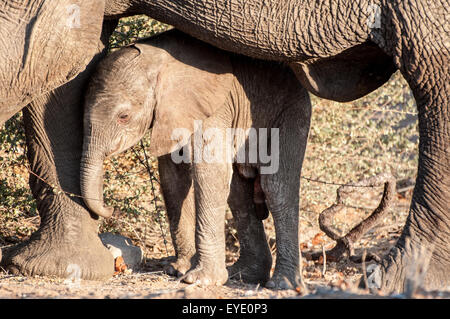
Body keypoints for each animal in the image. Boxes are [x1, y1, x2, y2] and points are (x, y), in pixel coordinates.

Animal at [81, 30, 312, 290]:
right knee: (239, 193)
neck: (158, 61)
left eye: (124, 116)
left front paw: (198, 279)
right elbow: (173, 175)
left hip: (292, 112)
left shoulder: (213, 108)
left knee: (276, 186)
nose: (109, 209)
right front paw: (177, 269)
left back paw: (282, 284)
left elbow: (209, 171)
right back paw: (244, 275)